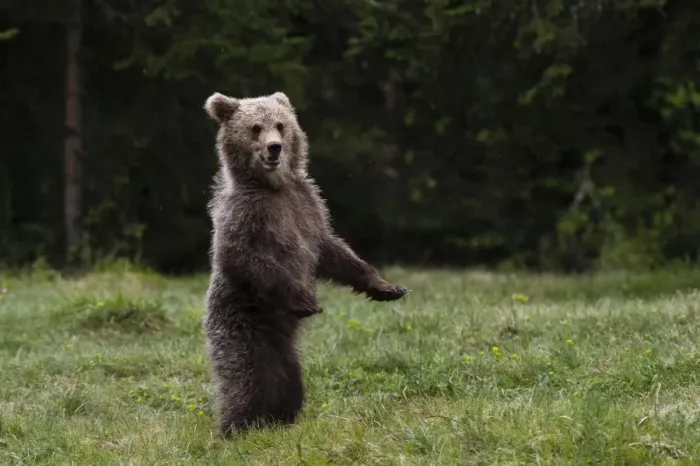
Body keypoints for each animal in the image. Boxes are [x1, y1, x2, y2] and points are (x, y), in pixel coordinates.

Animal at [202, 90, 408, 437]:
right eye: (255, 128)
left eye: (281, 125)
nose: (274, 147)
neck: (273, 186)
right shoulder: (246, 214)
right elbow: (241, 256)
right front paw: (306, 300)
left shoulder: (307, 205)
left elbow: (333, 251)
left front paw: (385, 287)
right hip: (242, 324)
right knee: (247, 379)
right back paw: (235, 428)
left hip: (284, 350)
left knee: (288, 384)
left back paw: (281, 418)